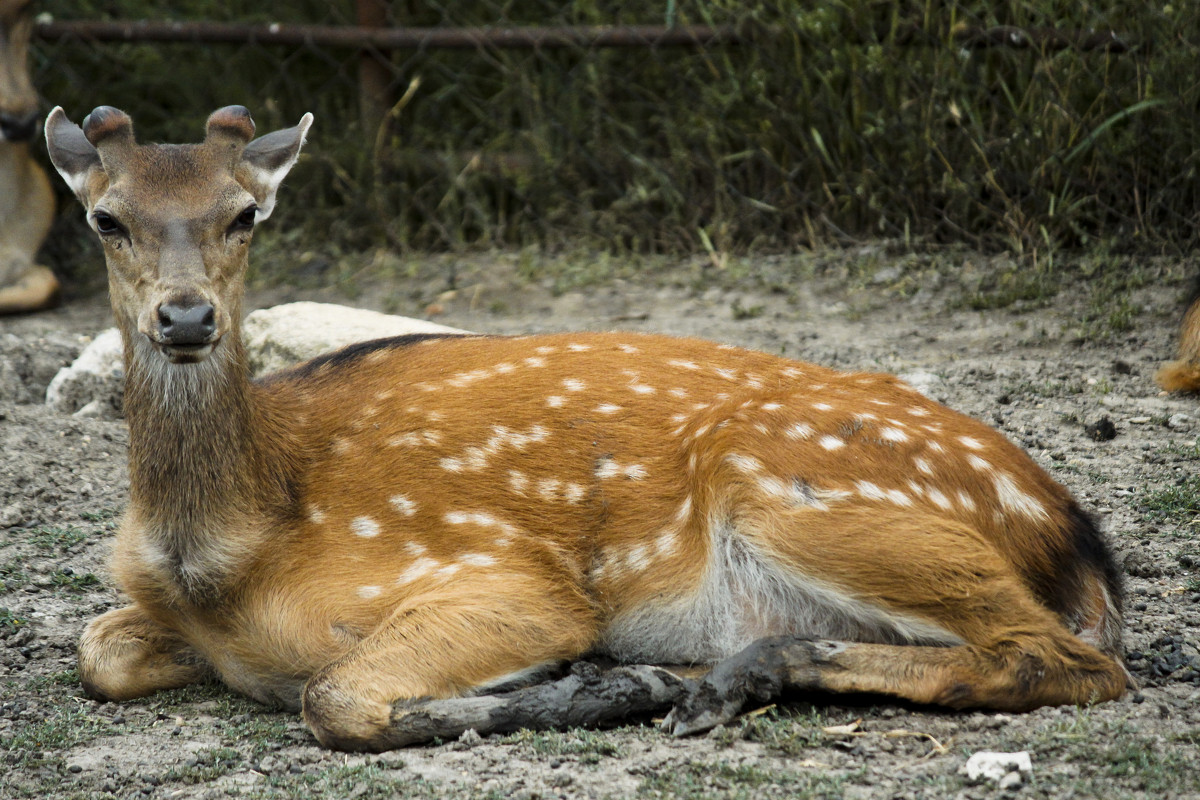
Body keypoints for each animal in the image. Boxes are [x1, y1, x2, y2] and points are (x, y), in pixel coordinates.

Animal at [42, 104, 1128, 753]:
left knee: (1061, 657)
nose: (186, 317)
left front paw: (580, 686)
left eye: (244, 214)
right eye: (106, 217)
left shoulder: (507, 576)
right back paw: (719, 675)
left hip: (797, 487)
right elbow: (97, 646)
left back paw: (686, 679)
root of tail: (1079, 541)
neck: (226, 552)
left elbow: (334, 696)